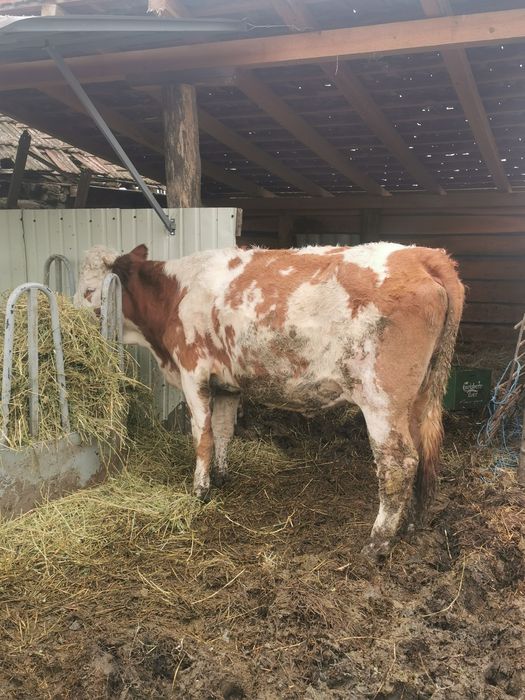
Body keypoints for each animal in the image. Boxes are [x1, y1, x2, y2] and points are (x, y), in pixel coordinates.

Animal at [75, 242, 464, 559]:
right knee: (423, 453)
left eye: (90, 290)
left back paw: (378, 542)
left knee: (398, 464)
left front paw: (200, 490)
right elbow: (223, 431)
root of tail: (423, 255)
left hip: (382, 400)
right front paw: (221, 476)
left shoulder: (193, 372)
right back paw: (409, 526)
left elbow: (202, 435)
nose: (72, 316)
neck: (175, 294)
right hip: (418, 397)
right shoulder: (226, 384)